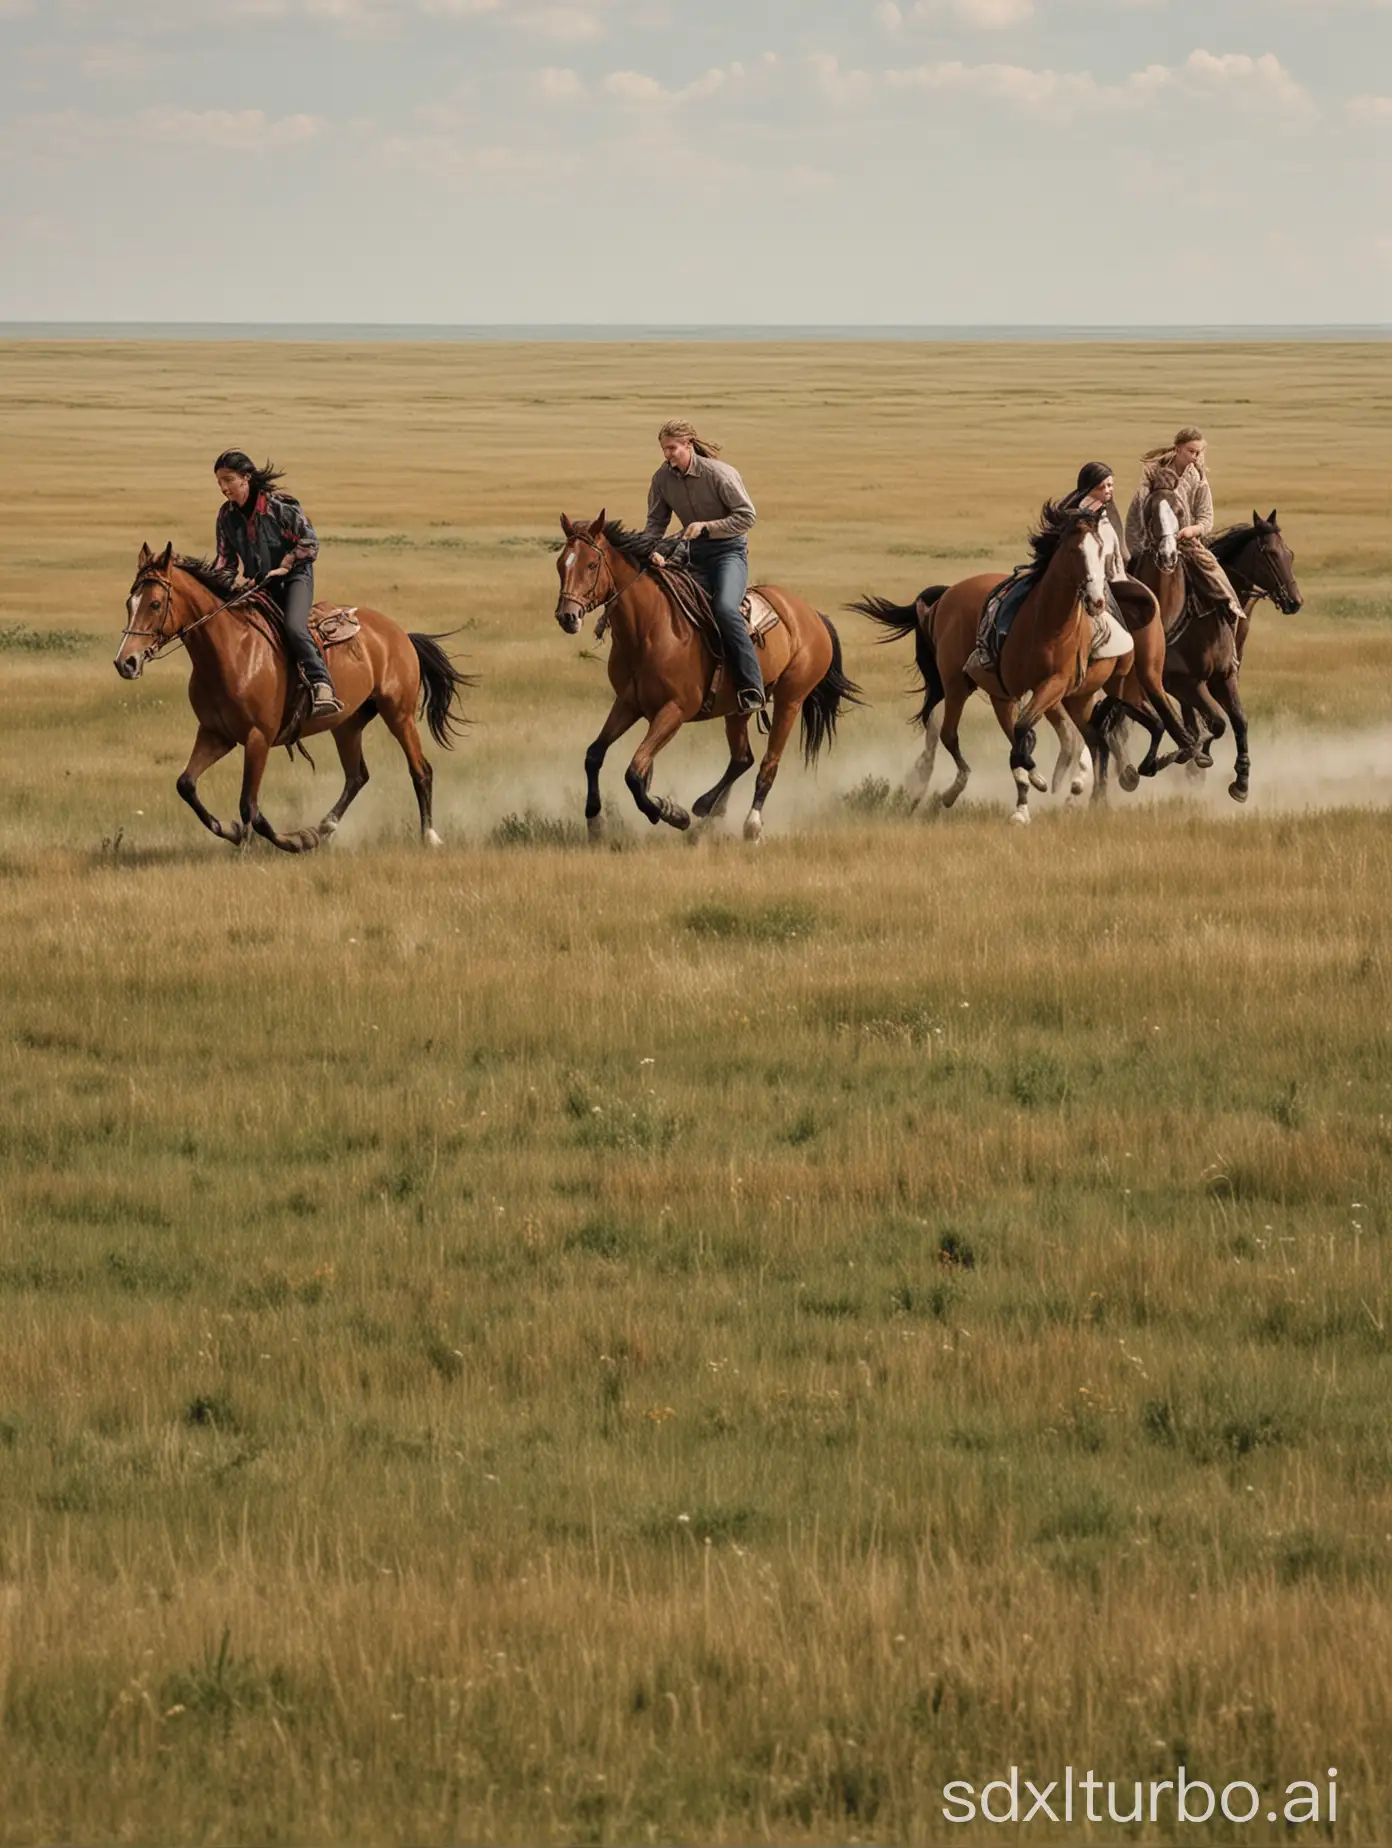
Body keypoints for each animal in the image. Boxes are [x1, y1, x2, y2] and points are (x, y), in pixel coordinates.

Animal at [115, 539, 473, 846]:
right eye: (129, 603)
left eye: (155, 603)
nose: (125, 662)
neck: (232, 651)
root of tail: (399, 634)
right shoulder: (216, 734)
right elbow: (186, 785)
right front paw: (232, 831)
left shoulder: (258, 738)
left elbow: (251, 808)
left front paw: (294, 841)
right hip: (347, 725)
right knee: (357, 776)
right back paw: (324, 828)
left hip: (398, 714)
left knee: (420, 770)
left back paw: (429, 836)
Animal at [554, 513, 857, 846]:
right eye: (560, 564)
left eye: (592, 564)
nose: (567, 616)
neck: (650, 628)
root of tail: (812, 615)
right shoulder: (629, 703)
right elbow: (595, 755)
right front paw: (595, 821)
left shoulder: (675, 710)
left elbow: (634, 771)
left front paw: (670, 812)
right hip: (738, 710)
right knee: (742, 759)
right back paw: (706, 811)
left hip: (790, 700)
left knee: (768, 763)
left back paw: (749, 825)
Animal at [857, 506, 1138, 824]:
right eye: (1075, 550)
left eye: (1101, 549)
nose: (1096, 601)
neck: (1047, 624)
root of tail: (947, 594)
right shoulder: (1013, 693)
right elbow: (1021, 735)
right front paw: (1028, 795)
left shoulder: (1054, 685)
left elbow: (1027, 733)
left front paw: (1037, 784)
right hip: (958, 686)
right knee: (949, 734)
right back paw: (957, 791)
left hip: (1072, 697)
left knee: (1094, 738)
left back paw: (1091, 795)